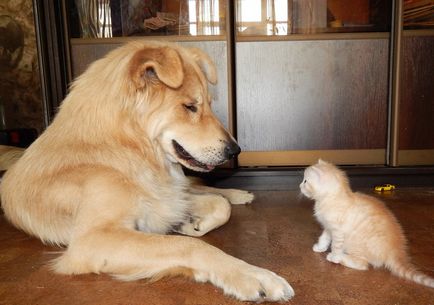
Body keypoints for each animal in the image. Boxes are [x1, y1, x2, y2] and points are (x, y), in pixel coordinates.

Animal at [0, 41, 294, 302]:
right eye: (190, 106)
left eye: (210, 104)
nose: (235, 150)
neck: (125, 147)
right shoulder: (93, 239)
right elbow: (188, 244)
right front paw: (252, 275)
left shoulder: (166, 198)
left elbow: (218, 207)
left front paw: (193, 223)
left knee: (207, 189)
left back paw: (239, 193)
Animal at [298, 159, 434, 288]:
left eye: (305, 181)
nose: (299, 186)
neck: (331, 198)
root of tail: (395, 249)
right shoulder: (328, 227)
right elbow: (324, 238)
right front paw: (320, 247)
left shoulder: (338, 231)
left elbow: (336, 245)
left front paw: (335, 256)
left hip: (355, 244)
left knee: (363, 265)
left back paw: (339, 258)